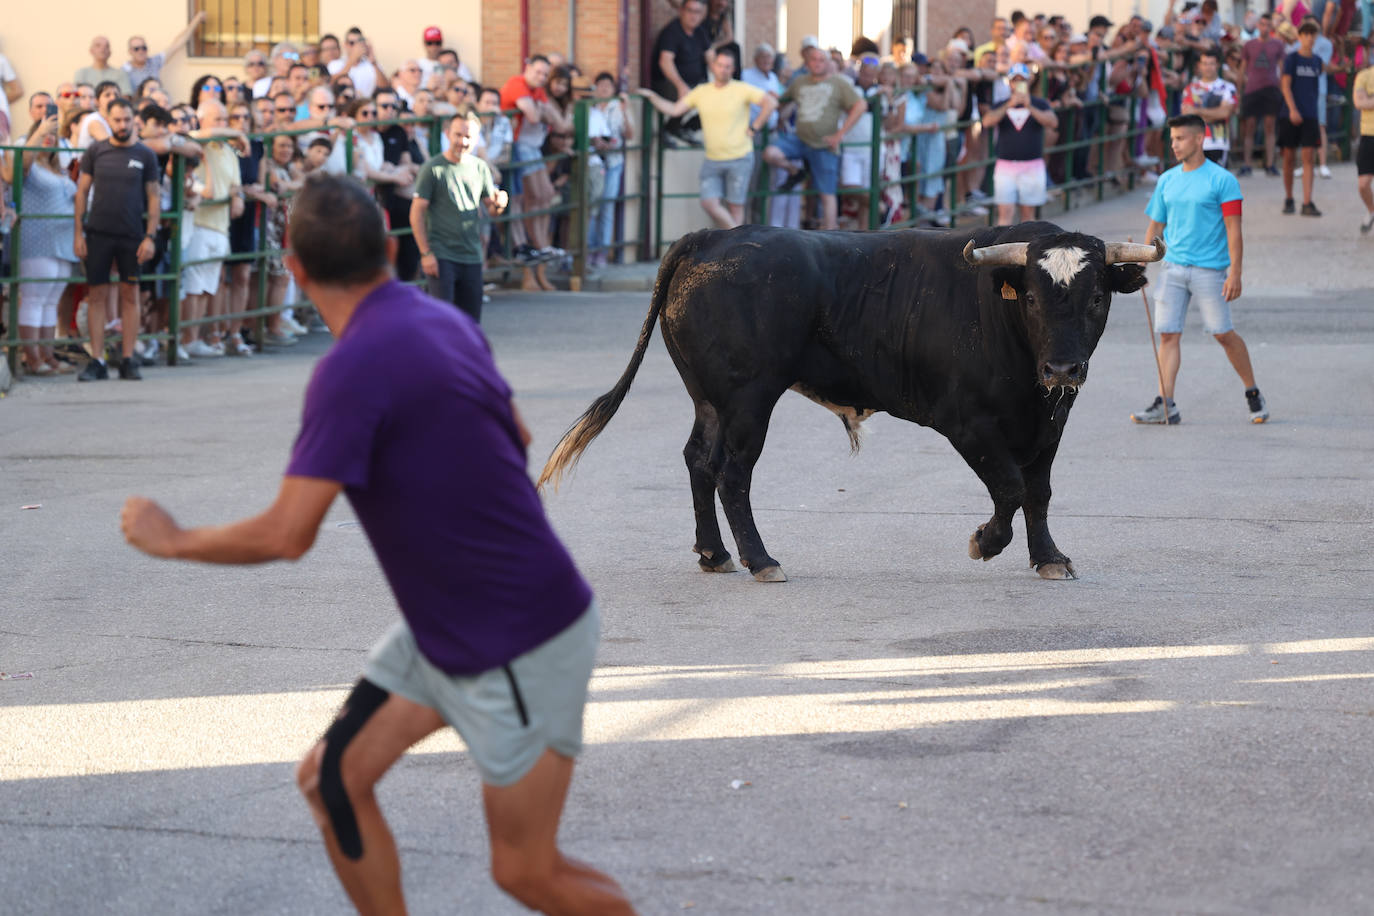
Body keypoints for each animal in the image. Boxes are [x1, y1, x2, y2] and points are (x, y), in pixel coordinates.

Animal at [535, 221, 1159, 579]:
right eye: (1030, 296)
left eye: (1098, 296)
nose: (1063, 368)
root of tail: (709, 239)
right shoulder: (968, 423)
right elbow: (1008, 487)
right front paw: (985, 542)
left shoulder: (1051, 421)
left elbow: (1038, 491)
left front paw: (1049, 557)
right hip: (749, 400)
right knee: (732, 473)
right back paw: (760, 560)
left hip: (710, 400)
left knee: (699, 462)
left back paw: (714, 554)